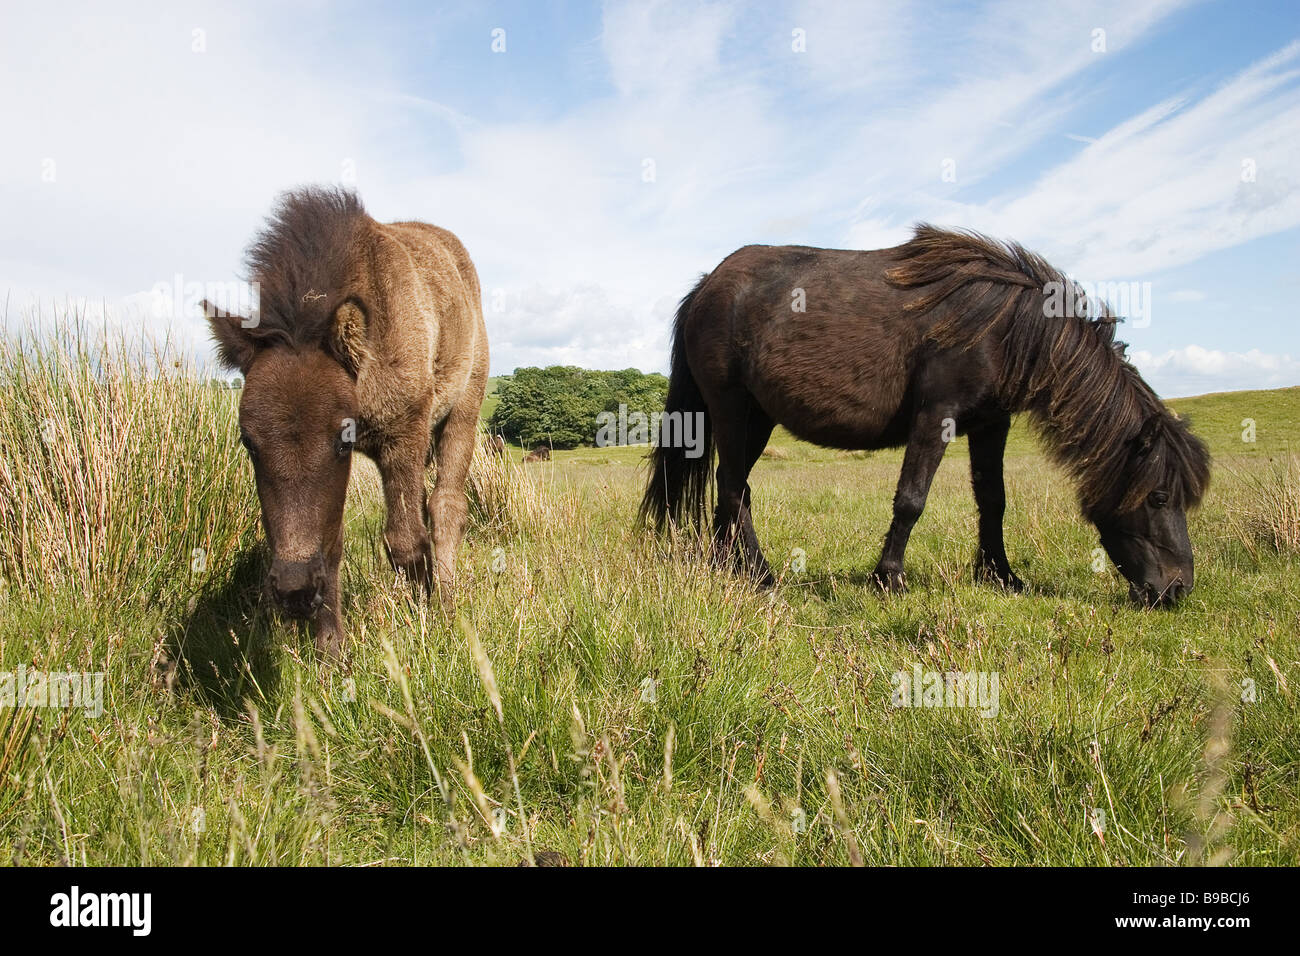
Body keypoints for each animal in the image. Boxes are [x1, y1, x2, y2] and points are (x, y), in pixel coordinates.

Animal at [205, 184, 488, 658]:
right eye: (248, 442)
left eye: (341, 441)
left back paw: (447, 601)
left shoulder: (404, 434)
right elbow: (331, 540)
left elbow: (405, 539)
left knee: (447, 504)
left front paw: (423, 622)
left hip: (463, 410)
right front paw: (331, 653)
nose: (294, 591)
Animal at [644, 226, 1211, 606]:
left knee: (729, 485)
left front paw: (1000, 576)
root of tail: (706, 286)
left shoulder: (992, 424)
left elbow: (993, 501)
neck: (1005, 326)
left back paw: (728, 568)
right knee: (733, 484)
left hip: (757, 418)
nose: (1176, 589)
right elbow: (911, 499)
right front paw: (888, 578)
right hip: (731, 407)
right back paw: (758, 574)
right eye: (1159, 497)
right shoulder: (936, 415)